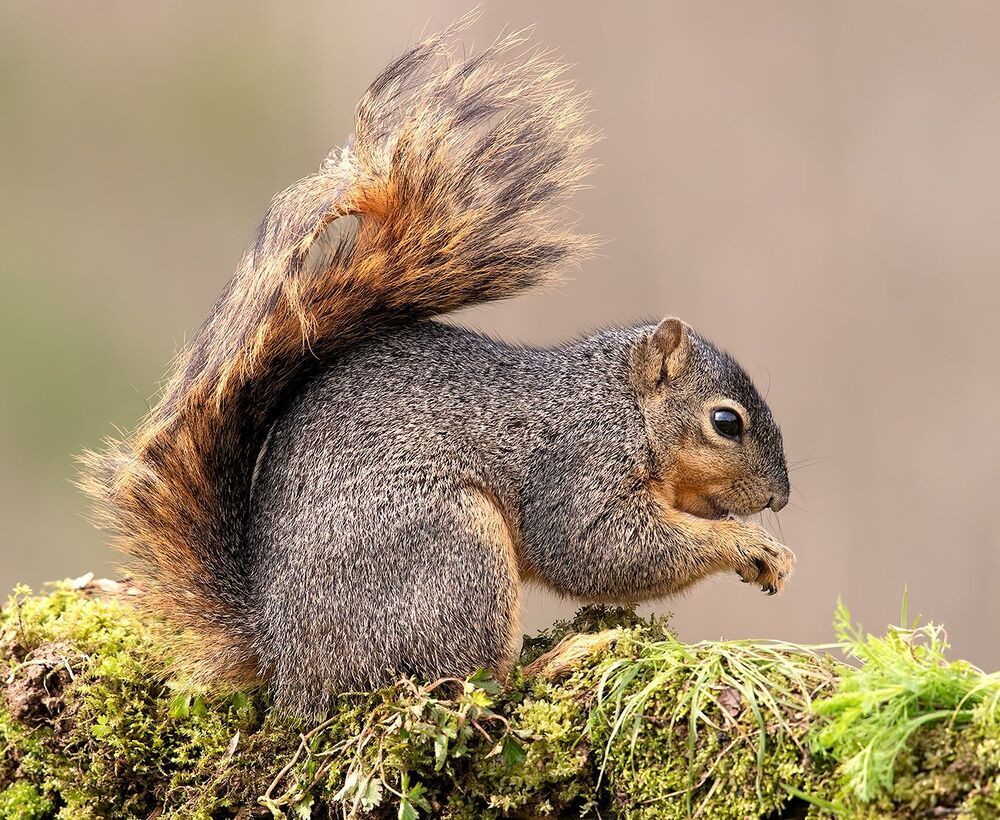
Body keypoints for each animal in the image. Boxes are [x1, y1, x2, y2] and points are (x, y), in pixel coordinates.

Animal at [80, 25, 794, 718]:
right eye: (726, 422)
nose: (779, 500)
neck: (618, 405)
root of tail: (287, 665)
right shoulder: (575, 468)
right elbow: (600, 549)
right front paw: (745, 545)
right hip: (453, 555)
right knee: (474, 688)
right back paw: (564, 656)